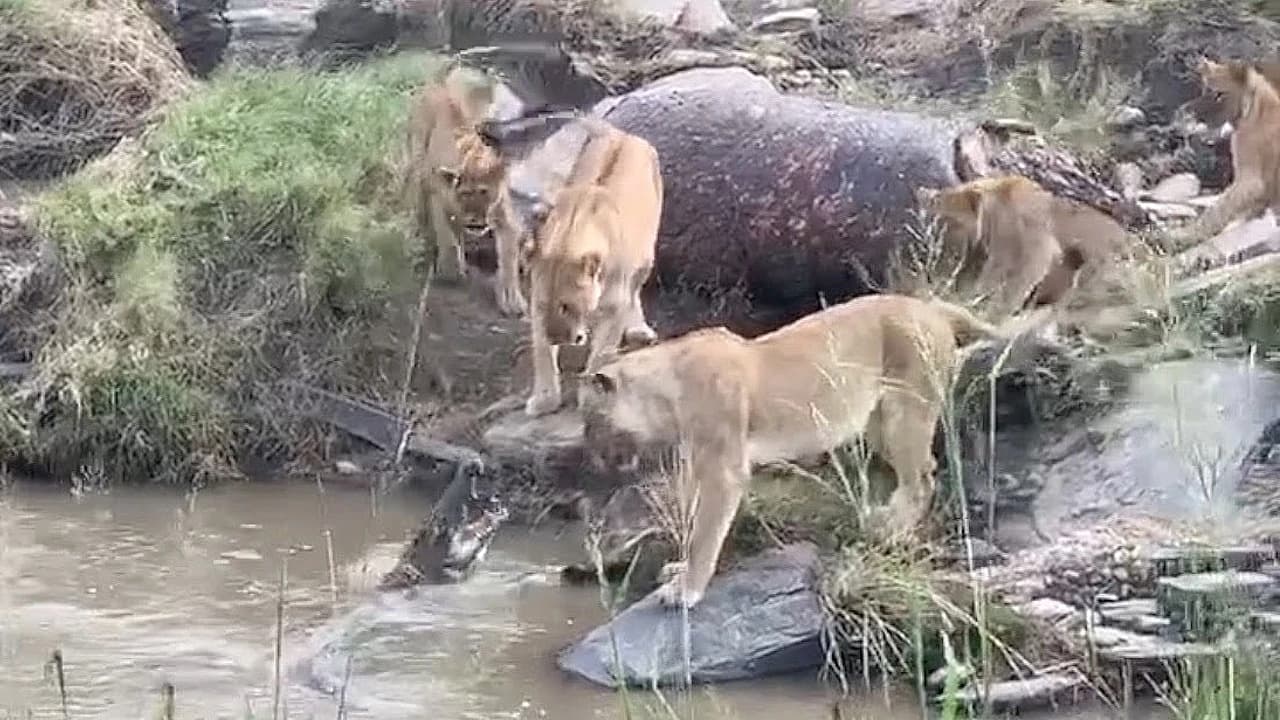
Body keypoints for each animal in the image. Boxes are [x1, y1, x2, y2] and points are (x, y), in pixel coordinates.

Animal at [407, 63, 532, 315]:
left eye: (485, 192)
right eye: (465, 194)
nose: (475, 223)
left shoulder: (503, 215)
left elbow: (509, 258)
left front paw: (513, 299)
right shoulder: (438, 196)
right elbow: (446, 235)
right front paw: (452, 270)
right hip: (419, 165)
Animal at [519, 120, 665, 417]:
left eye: (566, 305)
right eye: (543, 304)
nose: (556, 337)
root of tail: (624, 134)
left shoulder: (615, 306)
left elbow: (602, 355)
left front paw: (592, 394)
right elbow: (542, 355)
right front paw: (545, 399)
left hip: (647, 256)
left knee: (636, 291)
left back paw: (638, 330)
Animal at [576, 292, 1034, 604]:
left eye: (589, 419)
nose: (591, 456)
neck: (666, 391)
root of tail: (933, 308)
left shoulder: (724, 470)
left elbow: (706, 531)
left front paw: (686, 590)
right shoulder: (701, 463)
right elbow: (693, 524)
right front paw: (679, 570)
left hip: (906, 412)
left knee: (922, 477)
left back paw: (890, 530)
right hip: (878, 422)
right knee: (926, 469)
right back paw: (884, 517)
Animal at [916, 174, 1136, 316]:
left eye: (951, 221)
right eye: (931, 220)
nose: (936, 246)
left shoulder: (1035, 249)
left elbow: (1012, 284)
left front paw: (993, 308)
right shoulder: (1002, 252)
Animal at [1172, 57, 1280, 245]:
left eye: (1219, 94)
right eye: (1205, 89)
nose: (1186, 111)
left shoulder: (1251, 181)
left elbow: (1217, 210)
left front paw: (1182, 235)